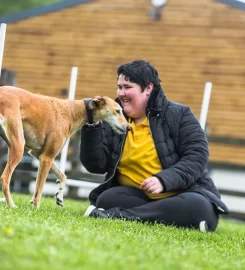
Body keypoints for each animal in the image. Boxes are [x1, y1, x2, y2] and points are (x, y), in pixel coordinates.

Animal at [0, 85, 129, 208]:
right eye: (118, 111)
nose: (128, 128)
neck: (72, 112)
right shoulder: (46, 157)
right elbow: (39, 189)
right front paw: (36, 207)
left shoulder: (38, 154)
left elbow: (63, 176)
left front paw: (59, 197)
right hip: (18, 147)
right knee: (5, 177)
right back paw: (11, 204)